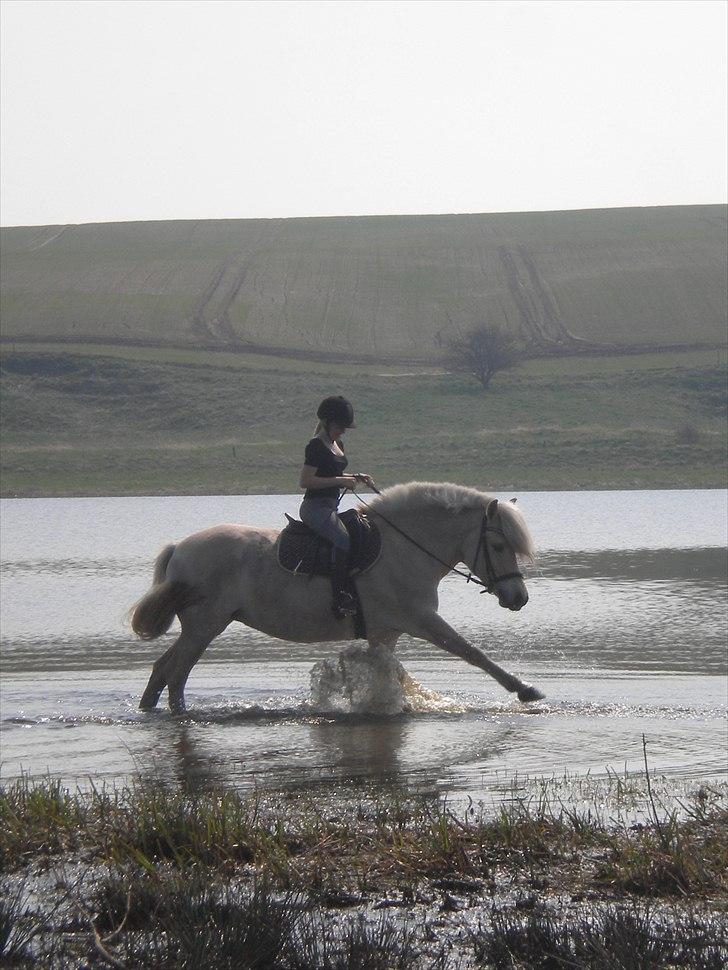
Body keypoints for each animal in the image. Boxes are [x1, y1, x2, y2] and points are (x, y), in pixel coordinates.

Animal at [131, 482, 544, 716]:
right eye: (498, 545)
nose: (518, 597)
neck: (405, 549)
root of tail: (180, 548)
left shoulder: (386, 631)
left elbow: (389, 672)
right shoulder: (421, 620)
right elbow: (472, 652)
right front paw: (525, 690)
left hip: (200, 628)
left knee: (162, 669)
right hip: (205, 627)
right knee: (176, 673)